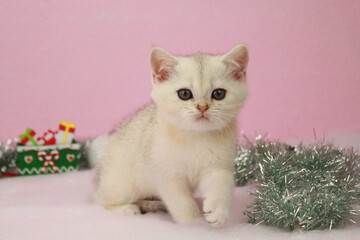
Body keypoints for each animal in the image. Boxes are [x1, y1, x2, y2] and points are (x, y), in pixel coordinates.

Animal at [94, 44, 249, 227]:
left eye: (218, 94)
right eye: (184, 94)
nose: (202, 107)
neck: (196, 136)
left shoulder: (218, 167)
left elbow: (221, 187)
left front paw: (218, 212)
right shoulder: (167, 176)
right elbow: (182, 203)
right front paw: (194, 224)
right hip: (122, 183)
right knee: (99, 201)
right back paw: (127, 209)